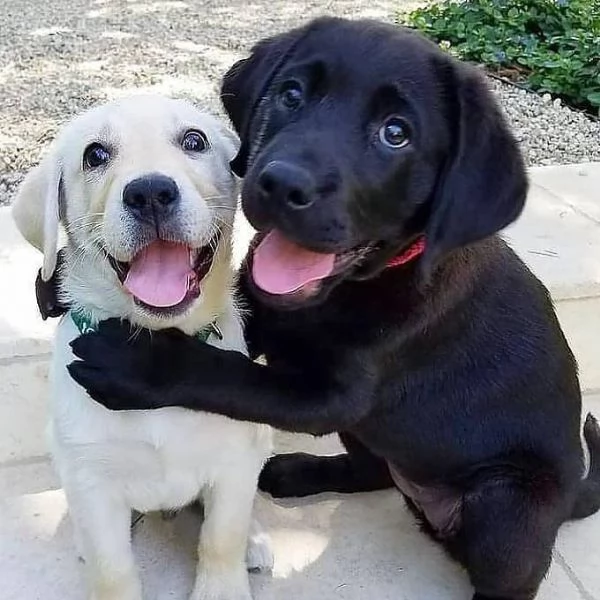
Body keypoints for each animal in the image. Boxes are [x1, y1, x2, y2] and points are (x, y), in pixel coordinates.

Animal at [70, 17, 600, 600]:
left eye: (396, 133)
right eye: (291, 95)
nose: (280, 183)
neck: (341, 293)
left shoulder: (334, 397)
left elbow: (232, 377)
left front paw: (137, 364)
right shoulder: (262, 317)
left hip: (506, 505)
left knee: (509, 572)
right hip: (376, 438)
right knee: (375, 471)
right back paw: (295, 473)